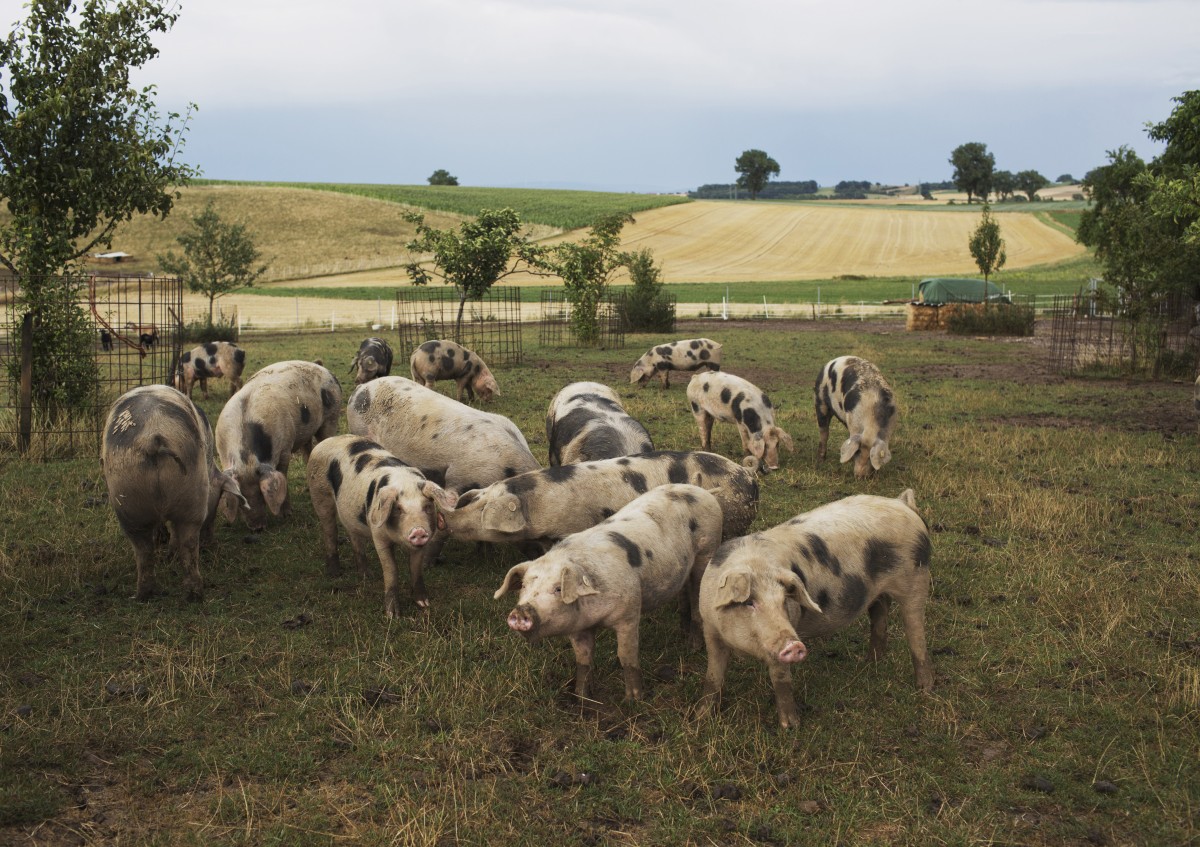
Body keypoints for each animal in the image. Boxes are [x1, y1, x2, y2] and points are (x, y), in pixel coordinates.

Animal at [214, 359, 343, 530]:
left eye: (261, 494)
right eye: (241, 500)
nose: (258, 528)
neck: (247, 461)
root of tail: (322, 368)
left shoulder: (285, 449)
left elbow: (283, 474)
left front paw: (286, 515)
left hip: (332, 417)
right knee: (308, 451)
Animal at [304, 436, 458, 614]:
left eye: (427, 506)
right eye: (398, 509)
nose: (418, 531)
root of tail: (326, 441)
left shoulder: (421, 544)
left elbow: (416, 569)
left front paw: (424, 604)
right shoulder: (379, 537)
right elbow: (391, 570)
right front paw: (393, 614)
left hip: (350, 515)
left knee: (355, 538)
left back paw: (367, 576)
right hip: (319, 494)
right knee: (330, 532)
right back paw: (335, 573)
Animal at [494, 482, 720, 700]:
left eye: (558, 588)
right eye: (524, 586)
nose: (521, 611)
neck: (595, 617)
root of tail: (702, 491)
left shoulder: (629, 613)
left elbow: (626, 657)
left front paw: (633, 700)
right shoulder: (578, 628)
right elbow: (583, 659)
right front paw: (582, 697)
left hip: (707, 549)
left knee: (696, 596)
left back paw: (693, 647)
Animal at [696, 489, 936, 724]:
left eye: (784, 601)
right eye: (749, 603)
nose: (794, 644)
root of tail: (903, 504)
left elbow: (781, 679)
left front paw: (790, 727)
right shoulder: (710, 629)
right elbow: (713, 675)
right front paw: (702, 717)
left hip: (918, 578)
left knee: (916, 635)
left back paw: (925, 690)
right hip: (880, 592)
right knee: (880, 613)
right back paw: (871, 663)